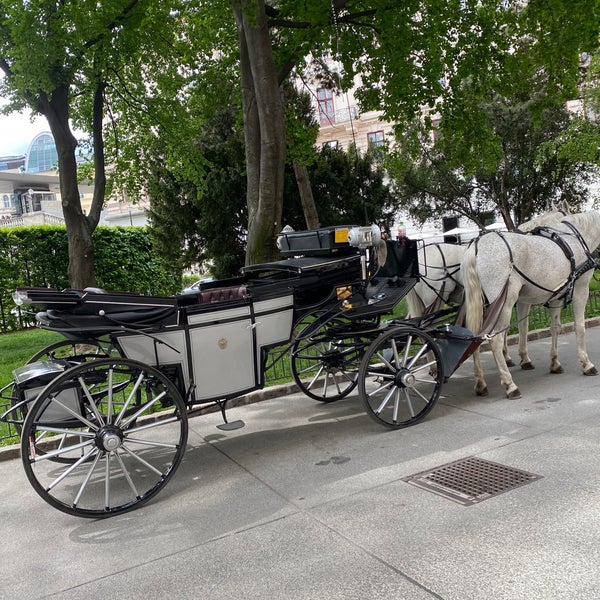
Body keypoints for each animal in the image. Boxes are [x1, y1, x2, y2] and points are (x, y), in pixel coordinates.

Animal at [462, 210, 596, 398]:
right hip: (504, 304)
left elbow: (553, 328)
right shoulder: (581, 289)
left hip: (481, 306)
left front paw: (554, 363)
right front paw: (586, 363)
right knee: (495, 339)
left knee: (475, 337)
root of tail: (477, 245)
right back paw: (510, 384)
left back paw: (480, 383)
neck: (575, 236)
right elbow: (580, 327)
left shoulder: (555, 297)